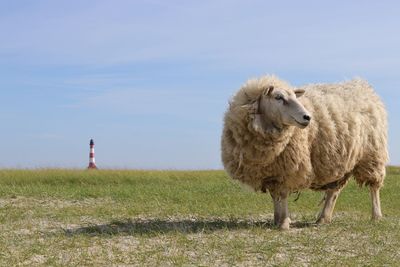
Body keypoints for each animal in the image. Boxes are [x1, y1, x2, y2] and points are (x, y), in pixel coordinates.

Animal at [220, 75, 390, 230]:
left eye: (295, 97)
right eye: (278, 97)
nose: (308, 117)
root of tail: (363, 86)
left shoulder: (288, 169)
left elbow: (282, 194)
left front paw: (284, 223)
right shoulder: (272, 171)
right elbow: (275, 196)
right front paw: (277, 220)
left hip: (372, 155)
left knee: (374, 187)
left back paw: (376, 216)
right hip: (342, 160)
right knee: (334, 191)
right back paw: (323, 219)